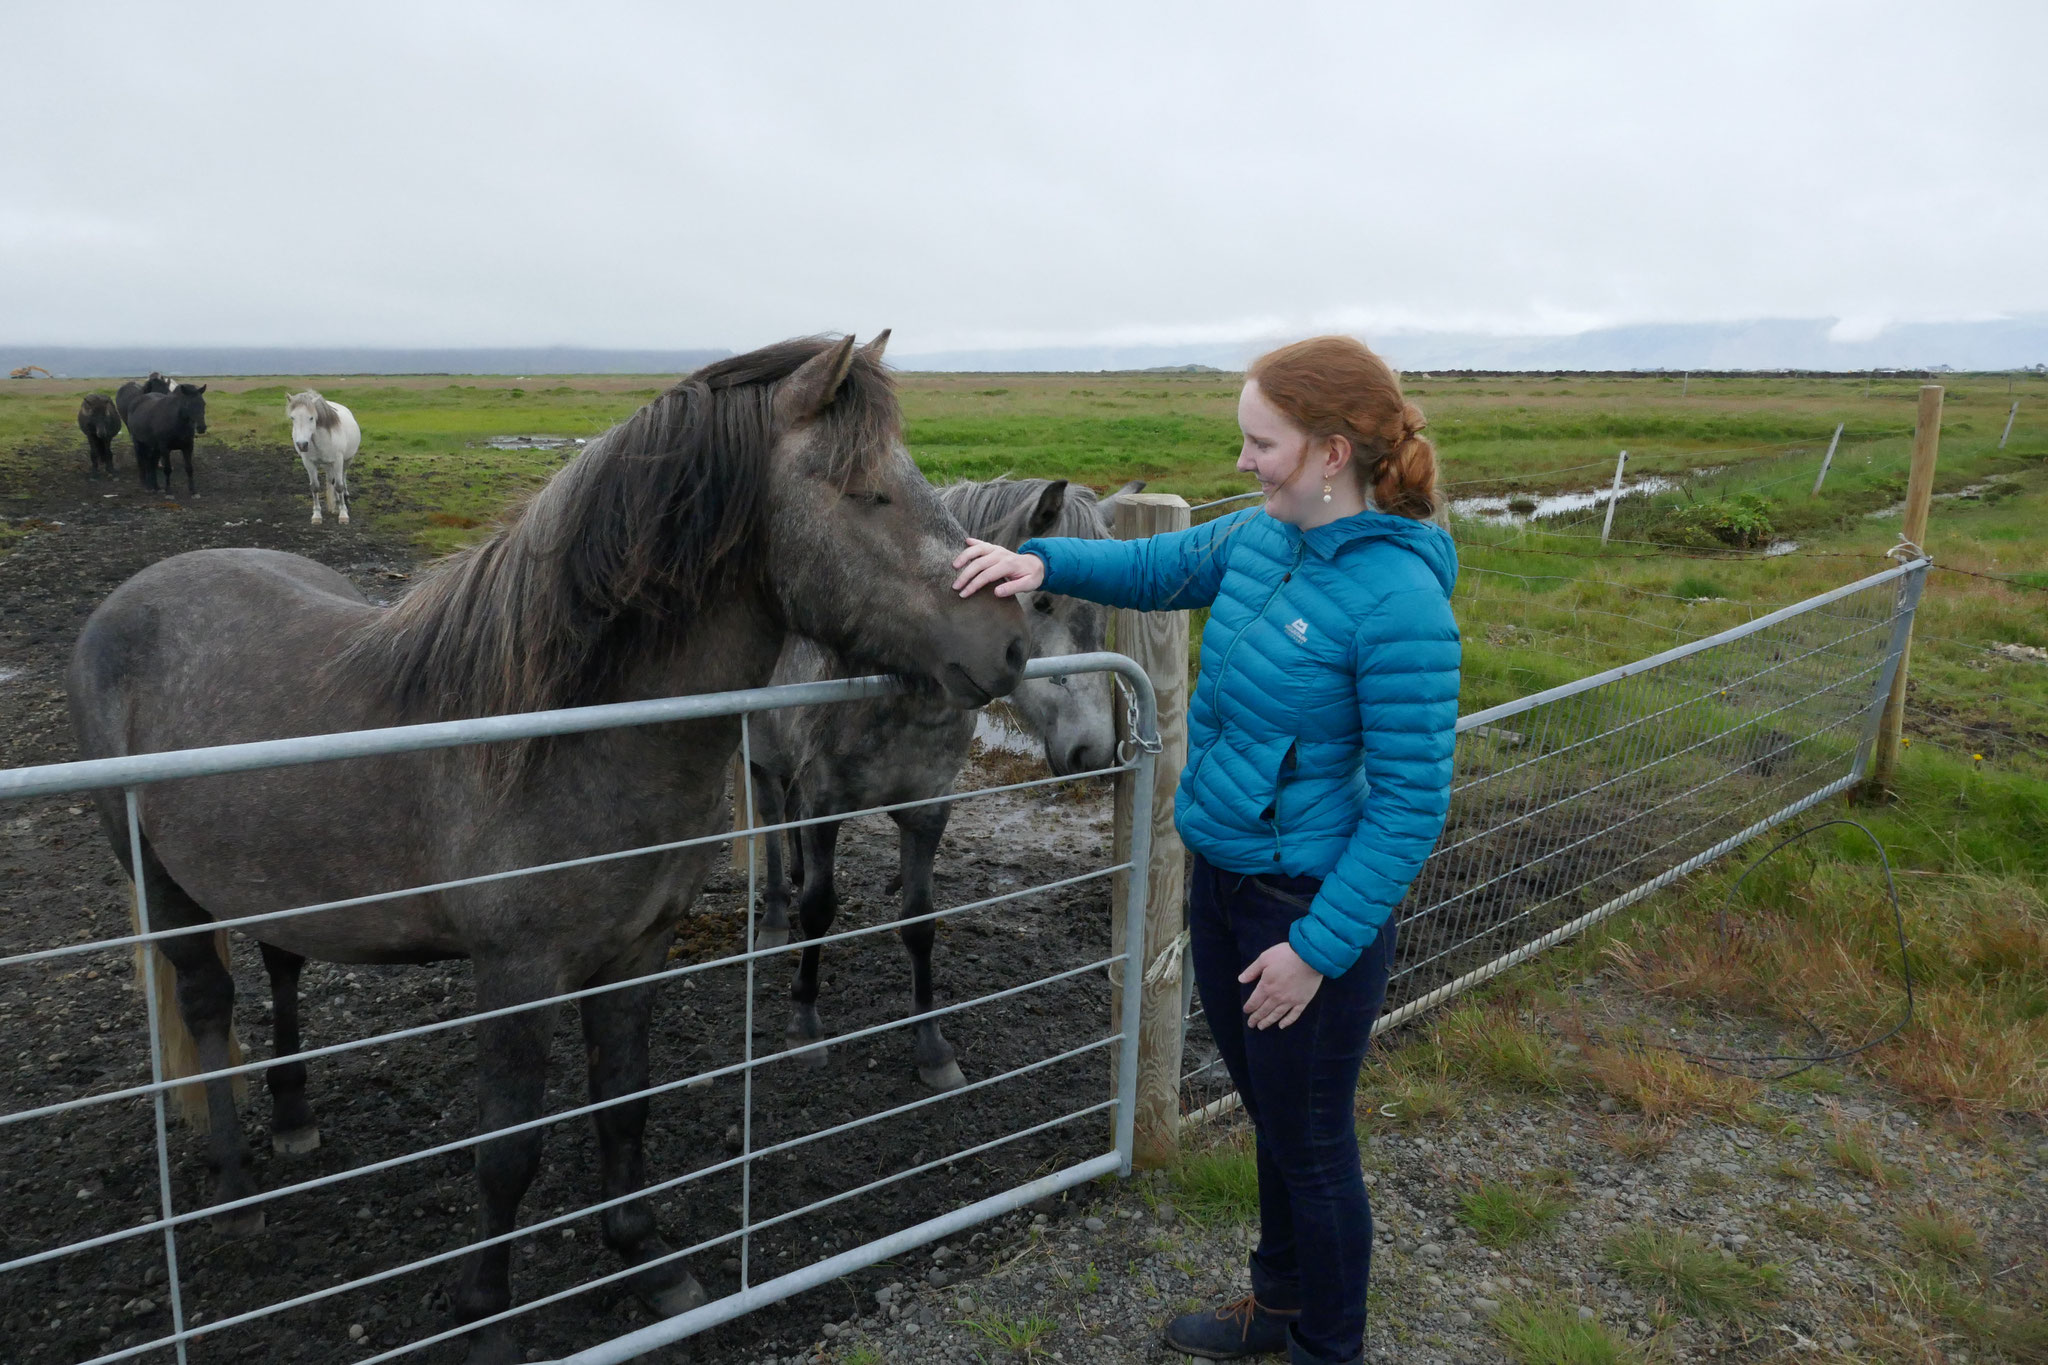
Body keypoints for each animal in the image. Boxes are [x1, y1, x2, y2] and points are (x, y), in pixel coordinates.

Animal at [284, 394, 360, 527]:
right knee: (331, 480)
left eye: (311, 418)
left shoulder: (338, 461)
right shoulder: (309, 463)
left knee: (343, 476)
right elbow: (315, 487)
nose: (302, 445)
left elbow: (339, 486)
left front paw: (343, 514)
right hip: (328, 465)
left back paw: (345, 497)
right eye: (292, 418)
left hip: (347, 460)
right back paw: (335, 503)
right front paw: (317, 515)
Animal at [749, 478, 1146, 1088]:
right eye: (1042, 603)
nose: (1094, 752)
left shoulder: (929, 808)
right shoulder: (824, 803)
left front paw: (932, 1047)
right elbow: (819, 909)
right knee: (771, 816)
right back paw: (772, 916)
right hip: (760, 753)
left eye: (1104, 612)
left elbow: (920, 921)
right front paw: (805, 1023)